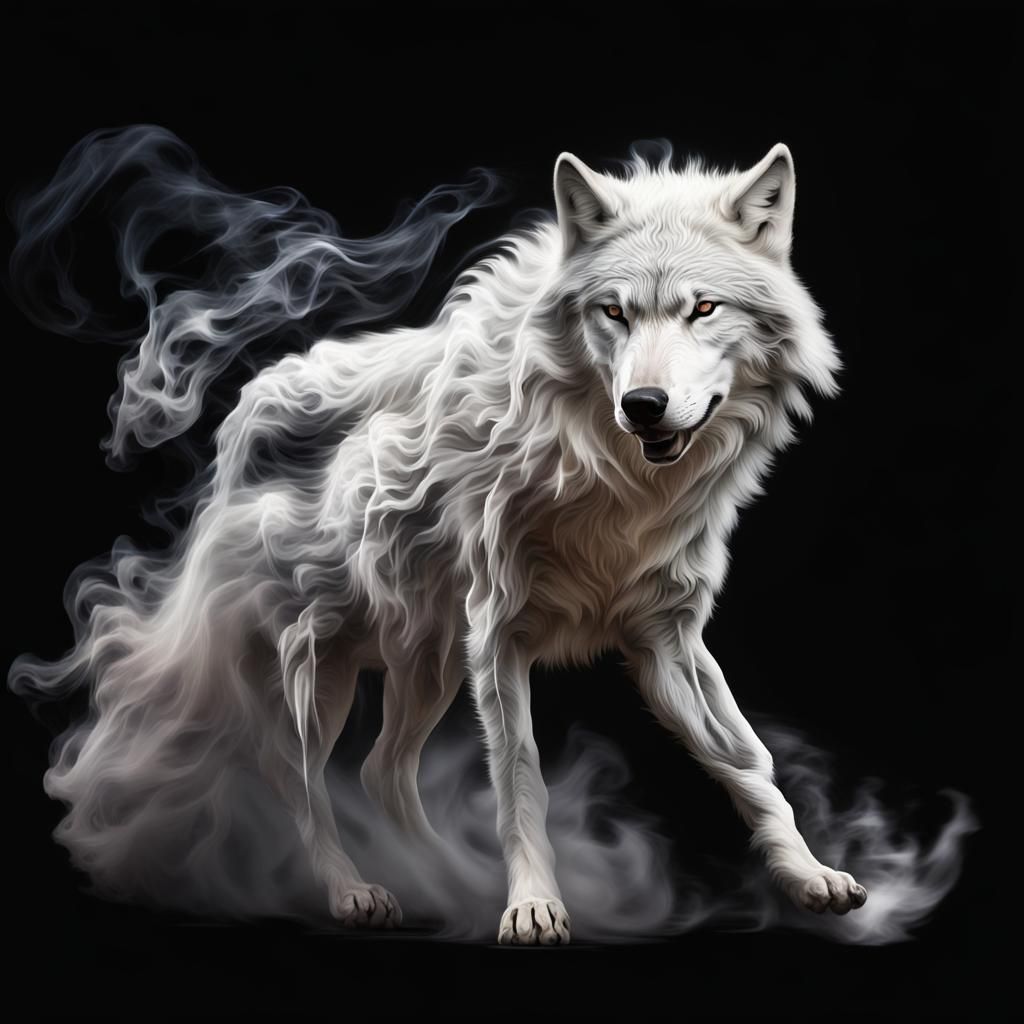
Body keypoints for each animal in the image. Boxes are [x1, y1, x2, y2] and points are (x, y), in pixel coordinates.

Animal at [12, 140, 867, 945]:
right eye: (615, 313)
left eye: (704, 309)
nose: (644, 405)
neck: (608, 480)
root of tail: (245, 415)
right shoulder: (500, 634)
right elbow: (521, 778)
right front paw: (533, 906)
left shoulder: (666, 639)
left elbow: (746, 760)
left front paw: (811, 874)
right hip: (320, 666)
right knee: (295, 774)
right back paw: (357, 890)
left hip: (427, 662)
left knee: (381, 770)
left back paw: (444, 875)